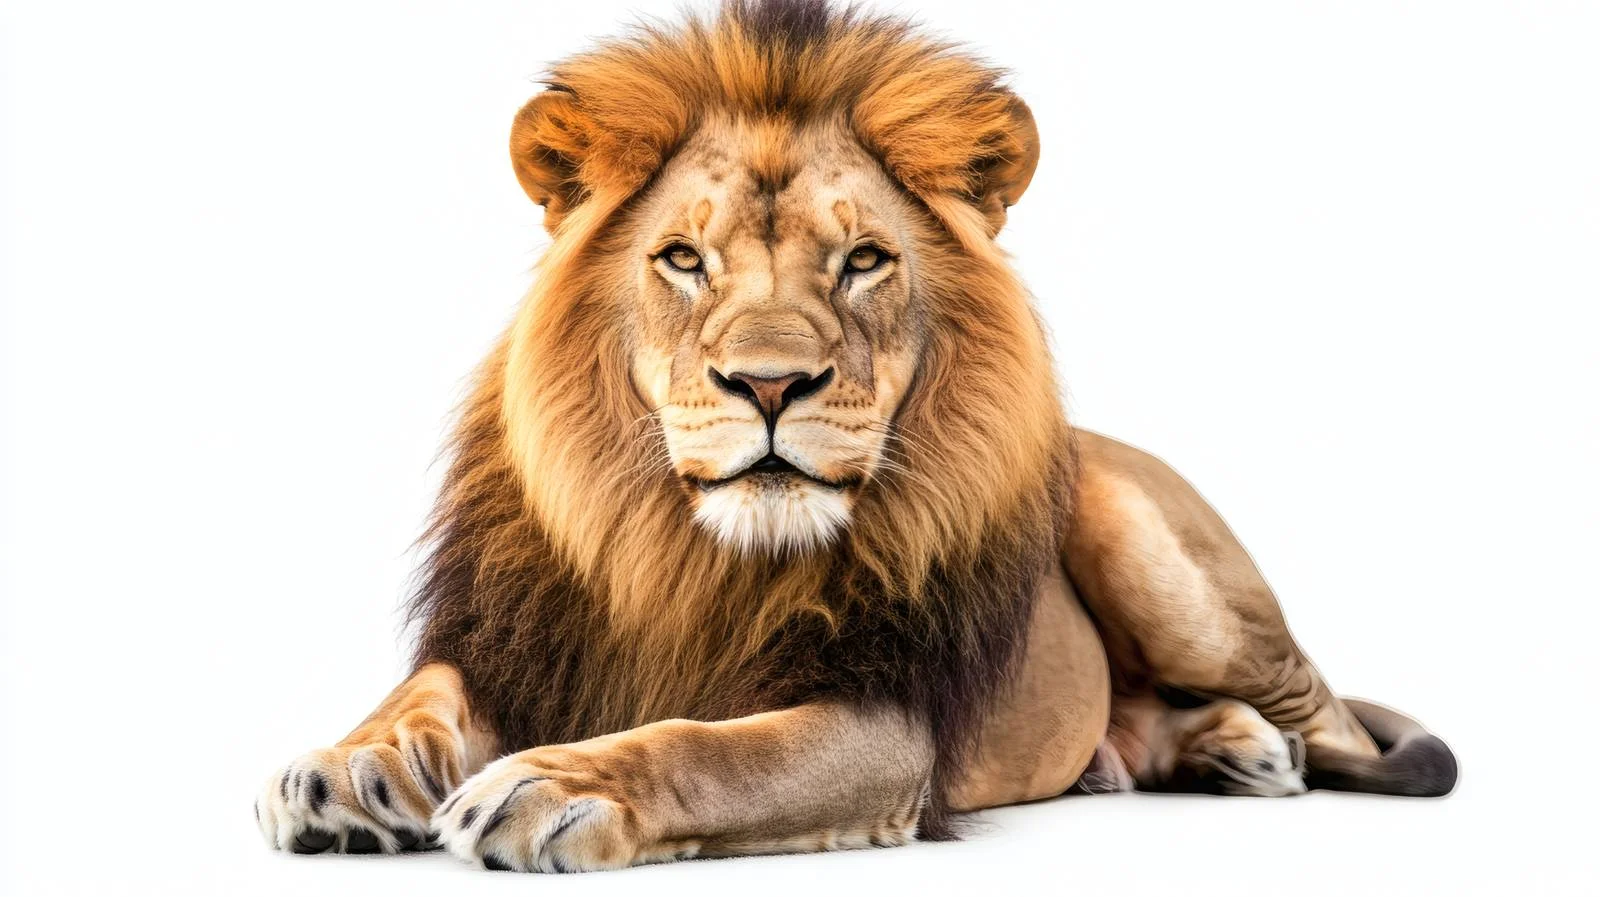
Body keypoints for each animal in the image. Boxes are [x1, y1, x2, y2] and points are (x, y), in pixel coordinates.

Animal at [254, 0, 1456, 870]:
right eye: (682, 258)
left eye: (864, 260)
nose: (769, 383)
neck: (686, 555)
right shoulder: (520, 637)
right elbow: (420, 694)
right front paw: (346, 771)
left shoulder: (884, 720)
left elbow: (712, 748)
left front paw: (559, 783)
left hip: (1165, 569)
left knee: (1340, 723)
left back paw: (1268, 748)